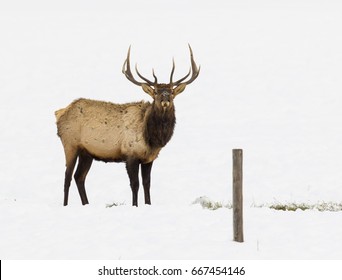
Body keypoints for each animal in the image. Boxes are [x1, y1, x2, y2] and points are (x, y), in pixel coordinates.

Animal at [55, 45, 200, 206]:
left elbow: (147, 183)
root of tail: (60, 114)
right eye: (156, 92)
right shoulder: (130, 154)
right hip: (70, 144)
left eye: (172, 93)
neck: (152, 138)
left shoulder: (148, 158)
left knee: (79, 177)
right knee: (67, 177)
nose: (165, 100)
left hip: (86, 152)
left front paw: (148, 204)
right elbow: (134, 184)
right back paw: (65, 205)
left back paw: (86, 204)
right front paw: (135, 205)